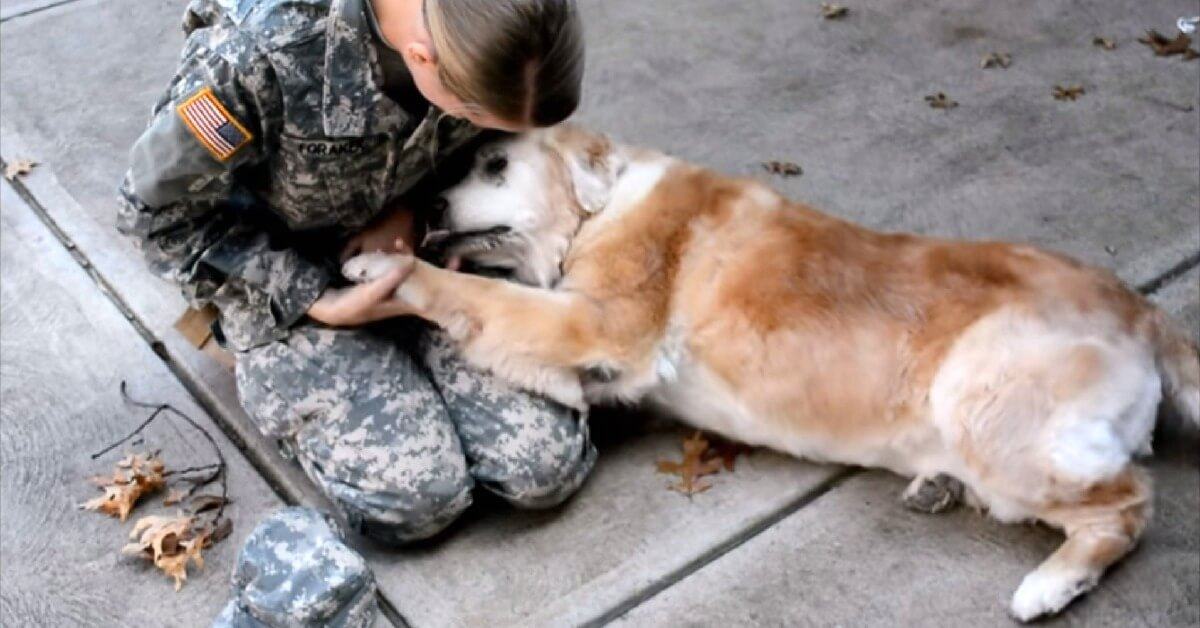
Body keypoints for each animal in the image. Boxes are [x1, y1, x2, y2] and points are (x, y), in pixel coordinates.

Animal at [340, 125, 1200, 619]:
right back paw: (939, 486)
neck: (601, 208)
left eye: (494, 164)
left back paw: (1049, 585)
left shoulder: (599, 322)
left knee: (1129, 502)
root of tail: (1142, 308)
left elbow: (473, 292)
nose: (429, 208)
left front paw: (383, 267)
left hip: (987, 405)